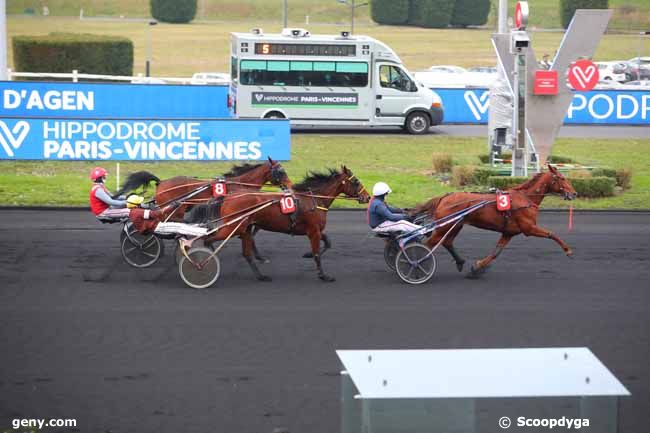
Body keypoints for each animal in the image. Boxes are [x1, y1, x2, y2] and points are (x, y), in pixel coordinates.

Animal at [197, 165, 370, 280]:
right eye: (356, 182)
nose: (367, 197)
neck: (313, 200)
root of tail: (228, 196)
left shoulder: (316, 230)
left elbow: (328, 243)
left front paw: (308, 254)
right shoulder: (313, 231)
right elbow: (317, 252)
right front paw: (323, 275)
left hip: (244, 227)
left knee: (247, 254)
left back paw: (261, 275)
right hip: (234, 227)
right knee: (208, 239)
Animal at [412, 164, 576, 278]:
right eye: (562, 178)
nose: (574, 193)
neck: (525, 199)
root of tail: (443, 197)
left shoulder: (508, 233)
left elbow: (496, 252)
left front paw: (477, 268)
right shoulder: (529, 228)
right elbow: (551, 234)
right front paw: (568, 250)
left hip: (455, 225)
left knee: (446, 242)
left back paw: (459, 262)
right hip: (444, 227)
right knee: (427, 245)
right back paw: (417, 266)